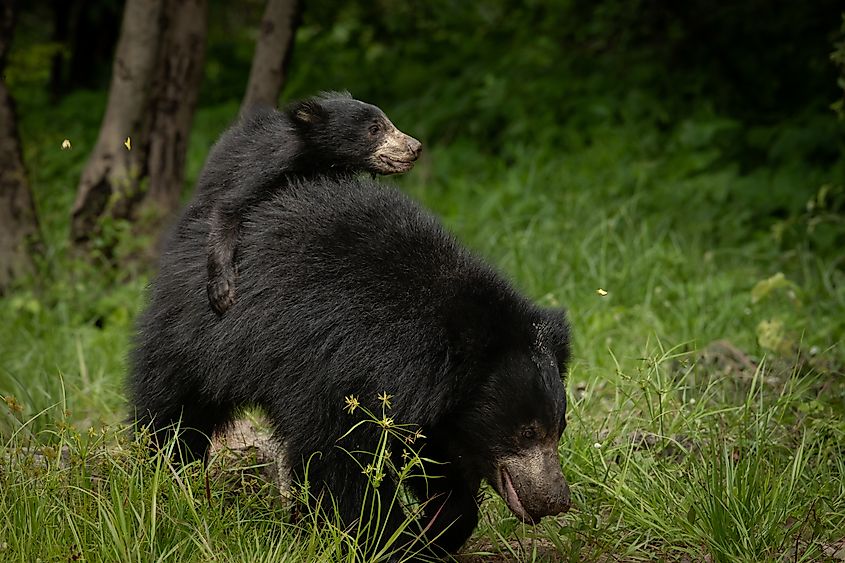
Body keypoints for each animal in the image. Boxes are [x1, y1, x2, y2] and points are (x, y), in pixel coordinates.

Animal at [130, 175, 571, 559]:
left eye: (560, 427)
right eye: (527, 431)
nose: (557, 500)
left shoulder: (436, 411)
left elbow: (431, 463)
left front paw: (430, 533)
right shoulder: (338, 370)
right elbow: (340, 463)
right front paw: (386, 542)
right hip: (194, 335)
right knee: (174, 413)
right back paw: (165, 478)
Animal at [196, 91, 422, 315]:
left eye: (388, 123)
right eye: (375, 129)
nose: (416, 147)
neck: (313, 158)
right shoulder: (261, 166)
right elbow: (229, 206)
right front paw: (222, 293)